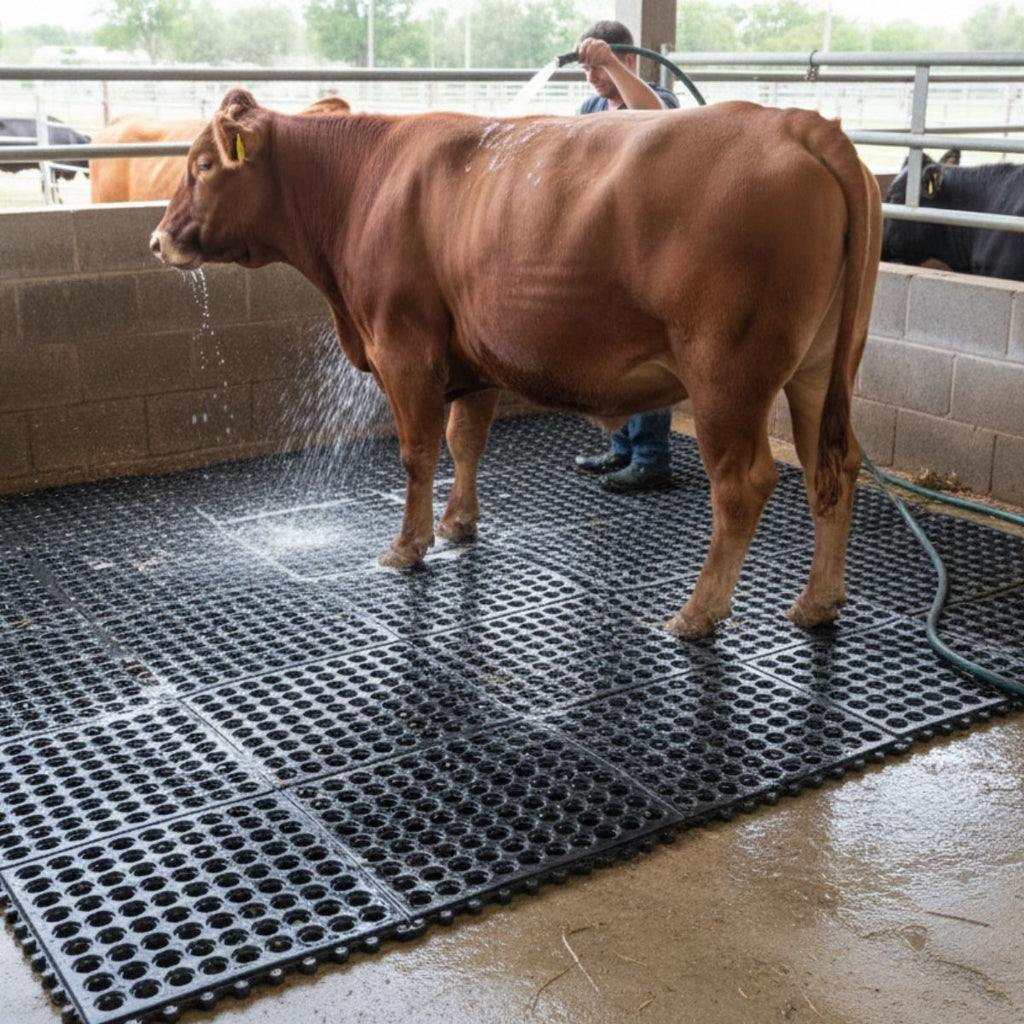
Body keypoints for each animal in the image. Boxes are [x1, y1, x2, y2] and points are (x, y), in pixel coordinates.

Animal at [150, 88, 882, 638]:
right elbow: (465, 439)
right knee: (833, 466)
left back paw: (698, 613)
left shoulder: (403, 348)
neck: (362, 183)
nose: (156, 241)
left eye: (202, 166)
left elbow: (418, 452)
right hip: (818, 370)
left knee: (742, 484)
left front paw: (407, 547)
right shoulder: (470, 351)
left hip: (728, 373)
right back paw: (818, 602)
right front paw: (458, 524)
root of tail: (798, 124)